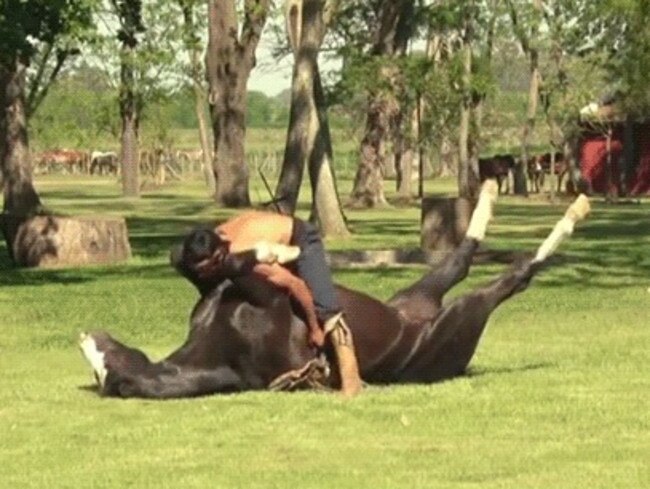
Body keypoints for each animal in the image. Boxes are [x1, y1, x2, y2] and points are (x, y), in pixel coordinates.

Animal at [78, 183, 588, 396]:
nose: (88, 337)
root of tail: (417, 317)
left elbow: (217, 266)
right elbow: (242, 266)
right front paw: (264, 253)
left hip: (418, 295)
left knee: (461, 258)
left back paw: (497, 195)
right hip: (460, 316)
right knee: (507, 274)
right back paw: (564, 218)